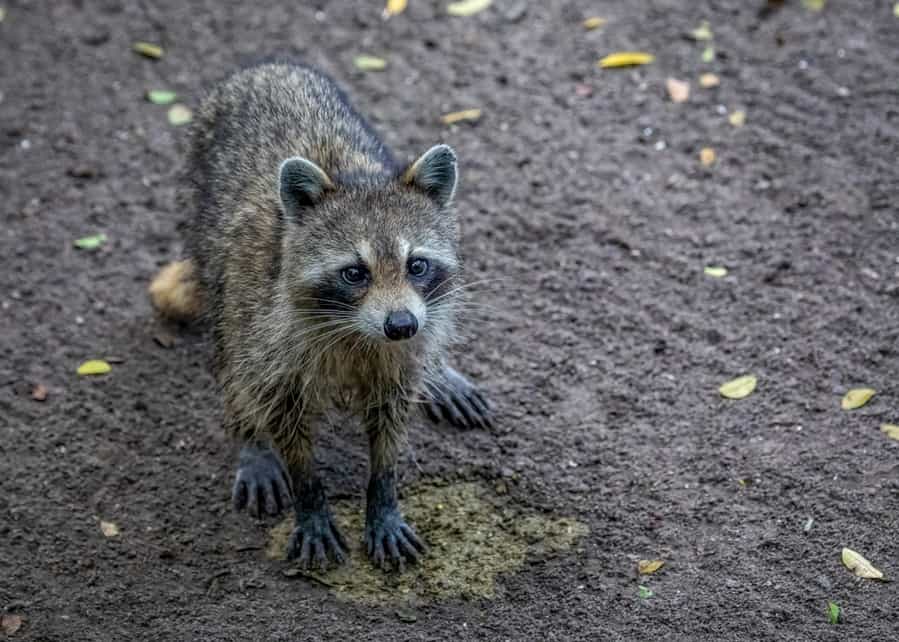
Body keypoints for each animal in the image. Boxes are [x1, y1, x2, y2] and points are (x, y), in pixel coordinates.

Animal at [151, 62, 496, 568]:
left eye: (416, 265)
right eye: (355, 273)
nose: (401, 325)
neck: (360, 334)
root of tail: (264, 67)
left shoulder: (402, 350)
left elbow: (391, 419)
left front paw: (383, 494)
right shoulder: (269, 327)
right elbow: (280, 412)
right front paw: (308, 496)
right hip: (210, 239)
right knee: (232, 353)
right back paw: (249, 437)